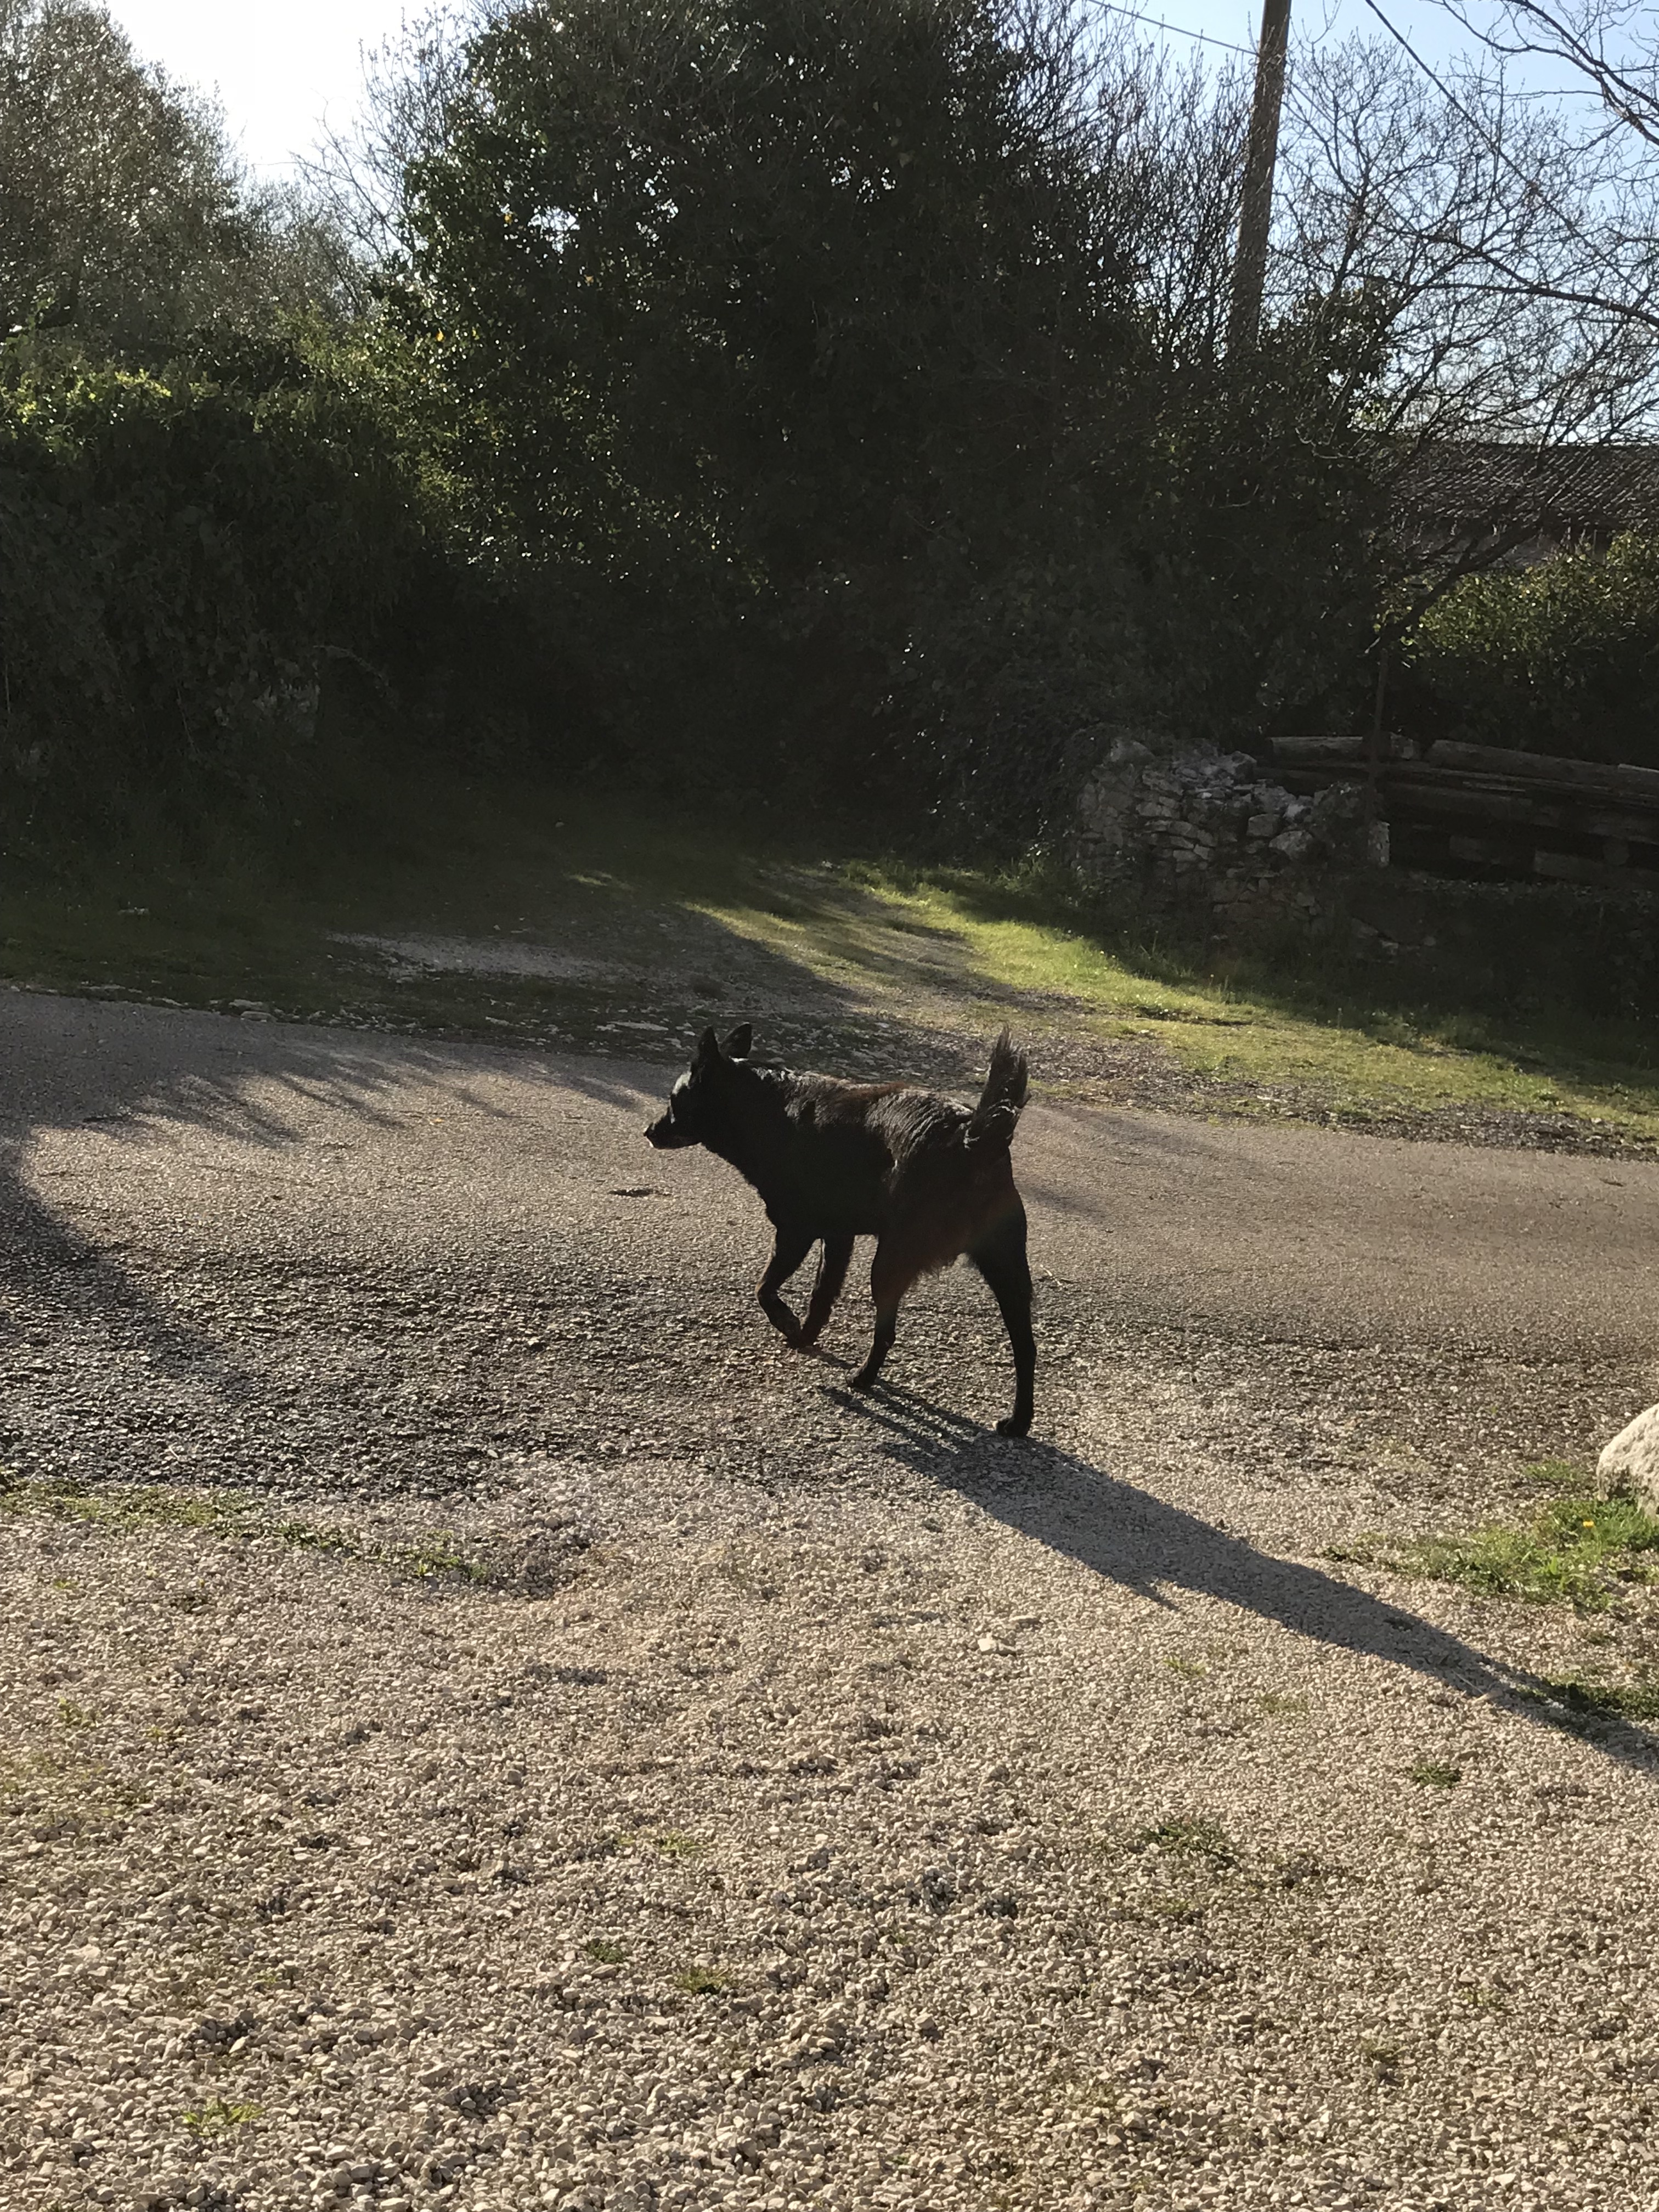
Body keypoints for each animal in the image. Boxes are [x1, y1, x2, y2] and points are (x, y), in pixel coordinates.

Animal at [645, 1024, 1034, 1436]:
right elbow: (821, 1294)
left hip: (890, 1264)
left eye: (674, 1101)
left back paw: (864, 1378)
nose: (648, 1131)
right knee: (1026, 1349)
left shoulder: (795, 1231)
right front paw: (805, 1336)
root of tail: (970, 1139)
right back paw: (1020, 1420)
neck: (764, 1106)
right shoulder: (837, 1237)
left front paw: (788, 1323)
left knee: (887, 1332)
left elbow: (764, 1288)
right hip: (1007, 1273)